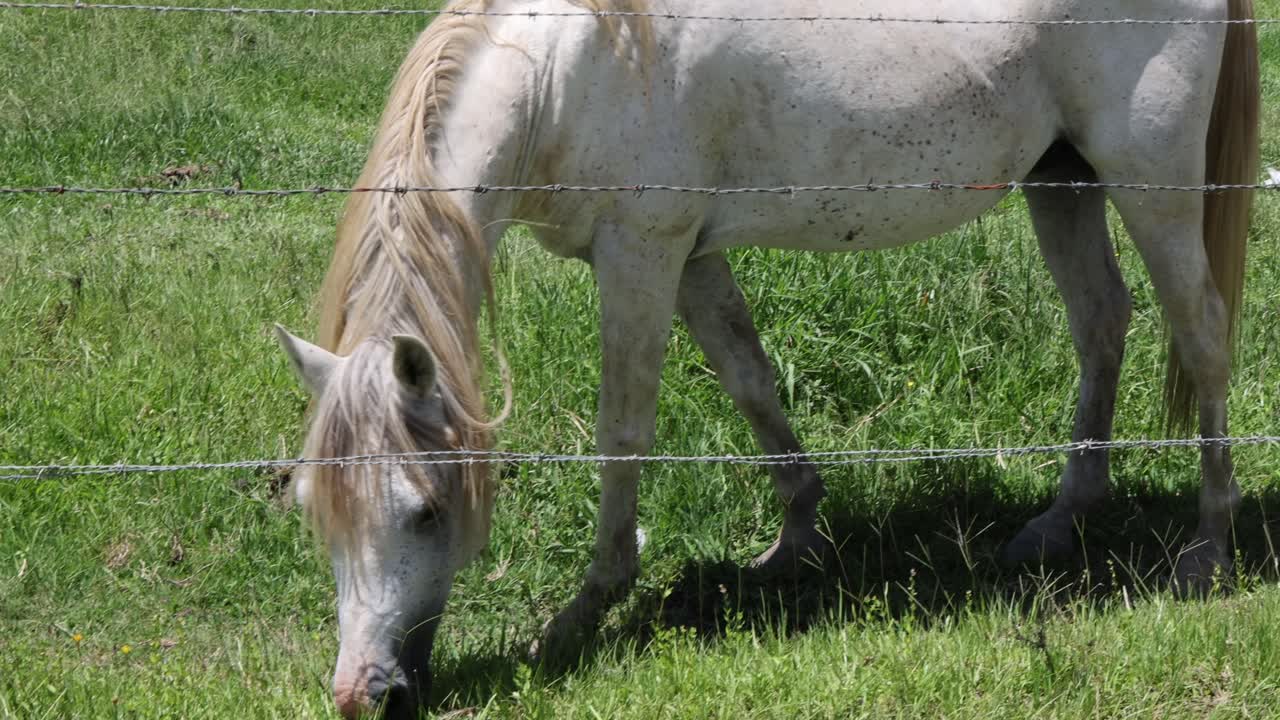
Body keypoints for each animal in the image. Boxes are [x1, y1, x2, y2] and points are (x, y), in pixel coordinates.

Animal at [273, 0, 1259, 716]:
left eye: (428, 512)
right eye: (316, 510)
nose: (363, 693)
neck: (568, 65)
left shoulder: (641, 254)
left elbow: (623, 432)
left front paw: (587, 608)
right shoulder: (691, 258)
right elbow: (750, 381)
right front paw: (797, 537)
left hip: (1152, 184)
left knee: (1202, 333)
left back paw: (1209, 546)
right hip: (1061, 177)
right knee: (1101, 322)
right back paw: (1061, 520)